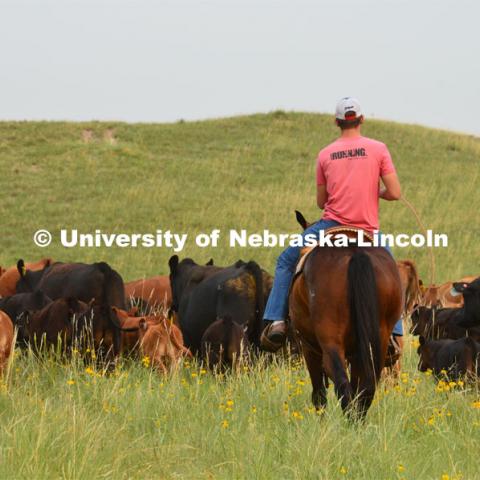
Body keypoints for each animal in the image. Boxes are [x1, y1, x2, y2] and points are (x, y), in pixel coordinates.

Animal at [290, 227, 404, 418]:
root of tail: (356, 252)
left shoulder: (309, 349)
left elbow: (319, 394)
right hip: (378, 340)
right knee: (367, 387)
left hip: (330, 341)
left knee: (341, 383)